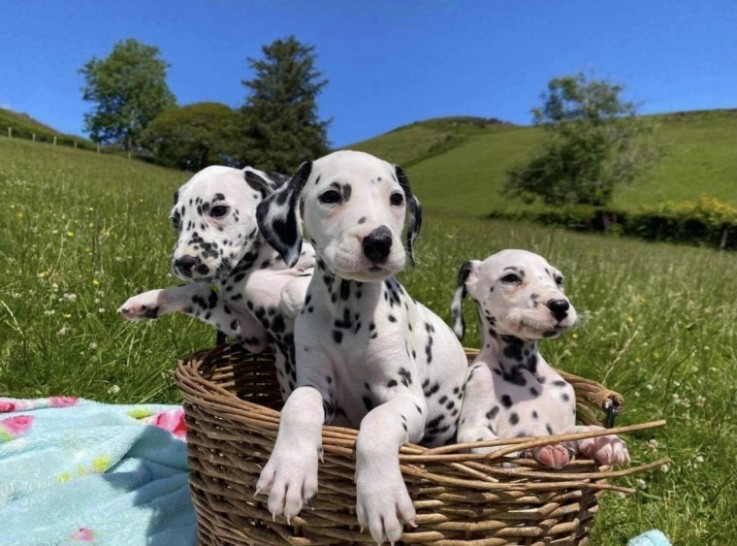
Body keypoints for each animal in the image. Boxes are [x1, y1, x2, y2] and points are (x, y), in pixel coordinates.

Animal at [119, 164, 314, 398]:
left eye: (219, 210)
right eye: (176, 221)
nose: (182, 263)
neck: (254, 266)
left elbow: (293, 289)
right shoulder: (253, 334)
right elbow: (199, 291)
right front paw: (150, 300)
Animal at [253, 150, 466, 544]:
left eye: (396, 199)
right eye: (331, 195)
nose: (379, 241)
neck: (348, 313)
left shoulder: (406, 397)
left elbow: (377, 423)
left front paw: (382, 497)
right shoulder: (316, 387)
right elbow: (299, 405)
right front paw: (289, 471)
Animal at [452, 250, 628, 468]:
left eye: (558, 280)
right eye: (511, 278)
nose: (561, 305)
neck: (522, 368)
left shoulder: (563, 426)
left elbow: (573, 432)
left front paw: (604, 439)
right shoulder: (472, 430)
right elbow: (508, 445)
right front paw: (540, 446)